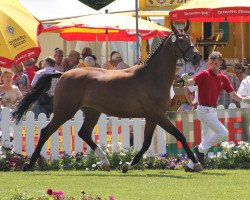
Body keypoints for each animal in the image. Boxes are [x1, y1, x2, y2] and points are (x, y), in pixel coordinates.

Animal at [12, 21, 203, 173]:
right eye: (181, 40)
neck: (152, 76)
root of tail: (64, 74)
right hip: (65, 111)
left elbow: (146, 143)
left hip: (92, 112)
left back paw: (105, 162)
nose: (197, 56)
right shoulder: (158, 115)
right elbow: (180, 135)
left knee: (83, 133)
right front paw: (196, 164)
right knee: (46, 131)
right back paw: (29, 165)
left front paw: (127, 165)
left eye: (191, 39)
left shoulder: (152, 117)